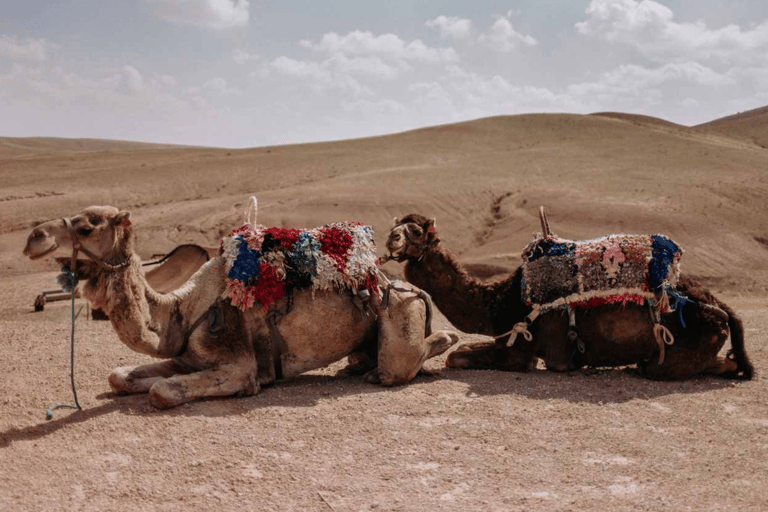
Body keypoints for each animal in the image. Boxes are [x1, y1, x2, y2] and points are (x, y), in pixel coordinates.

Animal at [22, 202, 456, 410]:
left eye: (86, 227)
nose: (33, 237)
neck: (181, 309)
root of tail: (402, 284)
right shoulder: (186, 357)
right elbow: (119, 376)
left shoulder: (238, 363)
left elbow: (162, 391)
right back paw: (358, 366)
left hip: (400, 307)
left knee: (402, 362)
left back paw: (441, 344)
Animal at [380, 211, 752, 380]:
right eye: (395, 227)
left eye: (415, 231)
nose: (391, 239)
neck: (499, 303)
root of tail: (723, 309)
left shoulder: (520, 351)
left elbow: (459, 357)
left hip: (678, 350)